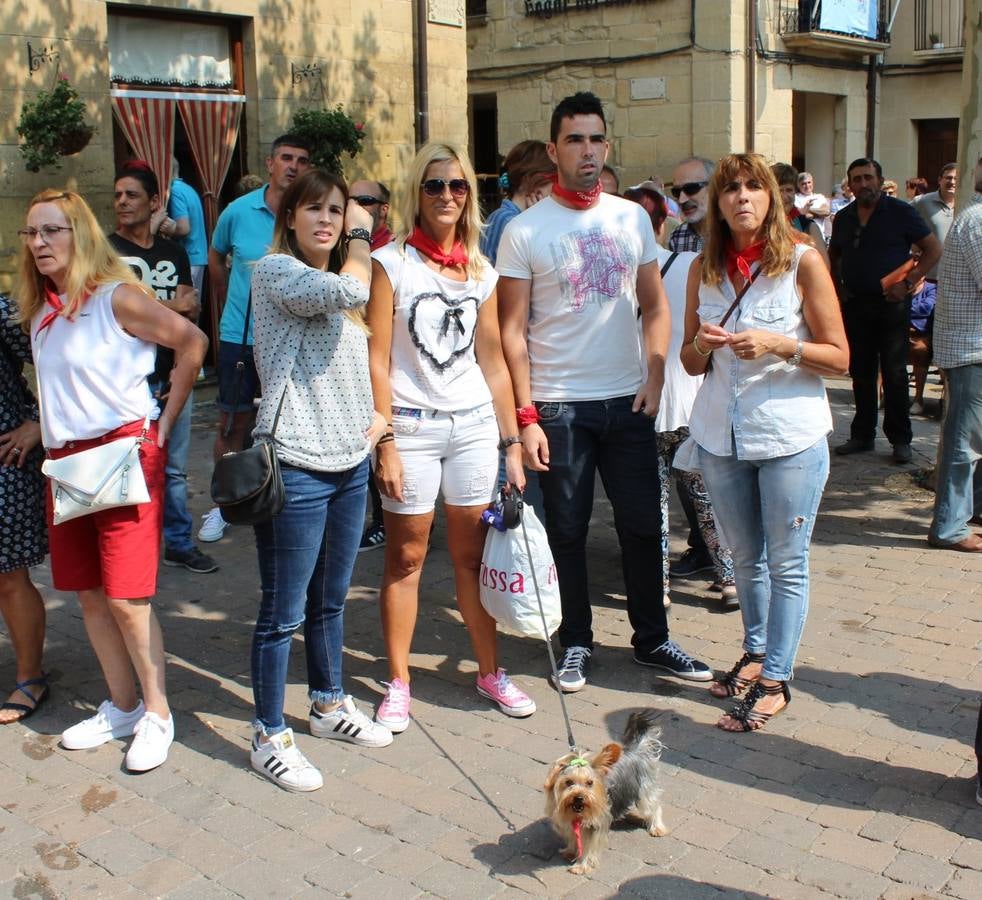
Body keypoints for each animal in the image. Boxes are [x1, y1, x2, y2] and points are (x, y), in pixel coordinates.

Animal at [544, 712, 668, 872]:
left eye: (590, 783)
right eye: (569, 782)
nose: (579, 797)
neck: (579, 813)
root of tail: (637, 750)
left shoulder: (596, 825)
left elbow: (589, 847)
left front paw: (581, 866)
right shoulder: (569, 821)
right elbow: (573, 837)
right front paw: (570, 851)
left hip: (644, 790)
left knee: (654, 807)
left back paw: (657, 828)